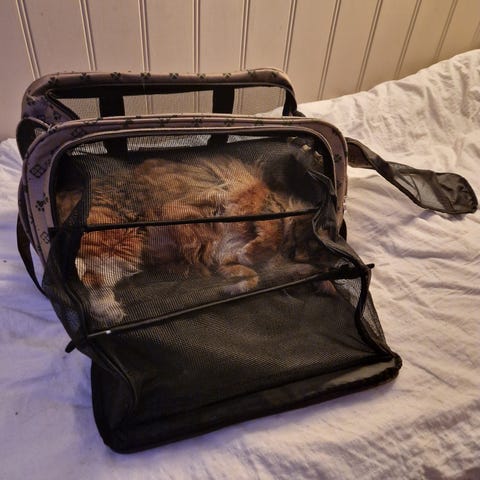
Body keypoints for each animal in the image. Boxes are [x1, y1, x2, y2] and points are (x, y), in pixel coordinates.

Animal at [56, 154, 334, 323]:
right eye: (309, 245)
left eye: (311, 254)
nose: (295, 255)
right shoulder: (248, 204)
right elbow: (269, 233)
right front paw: (253, 252)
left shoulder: (224, 260)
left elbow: (252, 277)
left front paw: (233, 287)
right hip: (118, 235)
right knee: (82, 270)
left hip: (125, 249)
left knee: (94, 278)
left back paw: (109, 311)